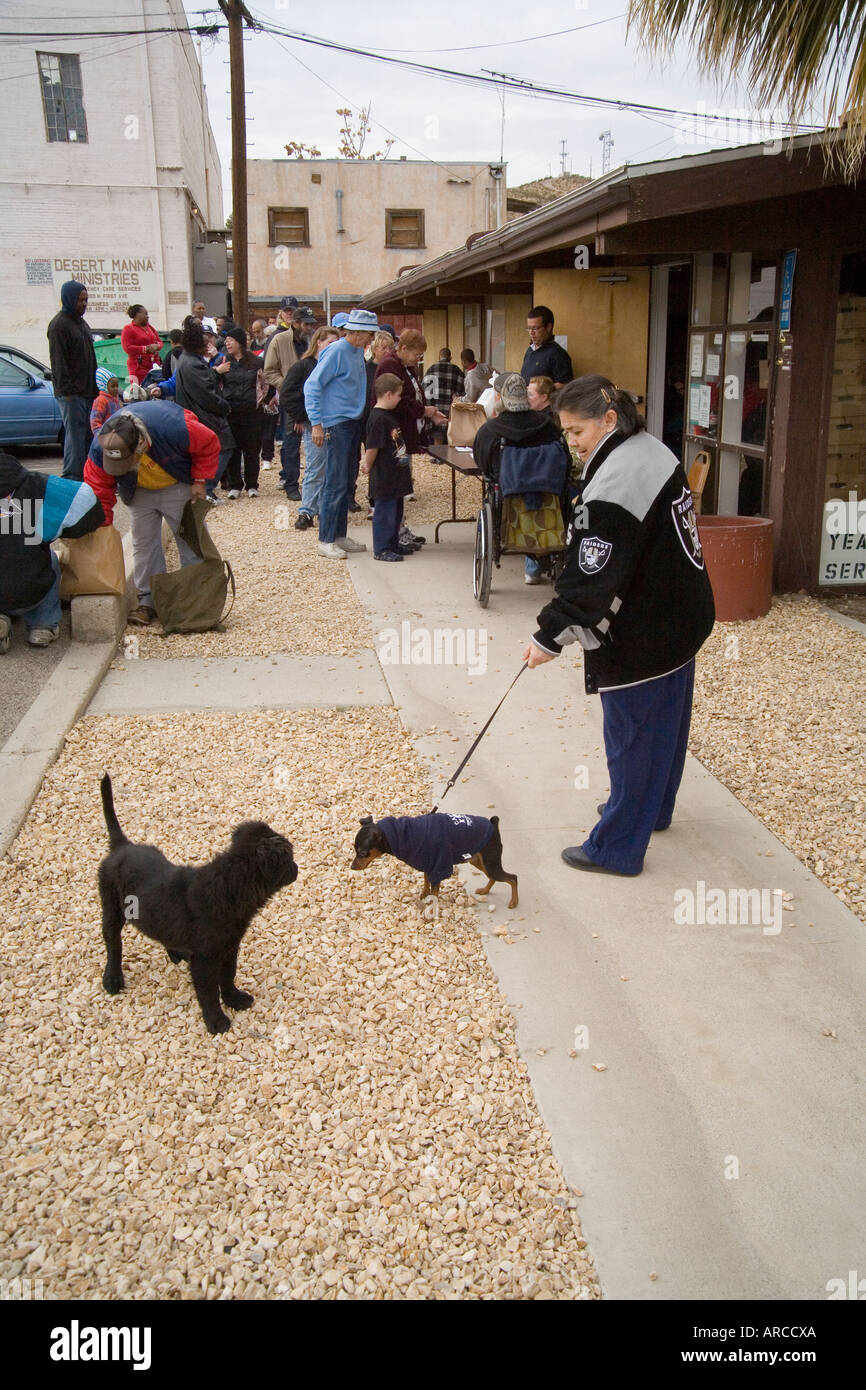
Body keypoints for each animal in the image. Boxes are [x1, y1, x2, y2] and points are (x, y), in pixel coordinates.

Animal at [97, 772, 297, 1034]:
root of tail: (122, 846)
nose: (297, 868)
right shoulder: (205, 959)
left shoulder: (230, 947)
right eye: (290, 857)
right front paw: (216, 1020)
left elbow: (228, 976)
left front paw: (234, 998)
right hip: (112, 907)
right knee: (113, 943)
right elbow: (208, 991)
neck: (229, 887)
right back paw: (112, 978)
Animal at [354, 811, 517, 906]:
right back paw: (485, 890)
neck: (401, 834)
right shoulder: (429, 865)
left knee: (513, 877)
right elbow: (426, 882)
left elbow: (435, 893)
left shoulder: (438, 867)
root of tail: (493, 825)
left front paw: (431, 911)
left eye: (362, 853)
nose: (352, 867)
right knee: (495, 877)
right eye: (354, 849)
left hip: (490, 863)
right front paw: (424, 895)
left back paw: (514, 902)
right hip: (480, 862)